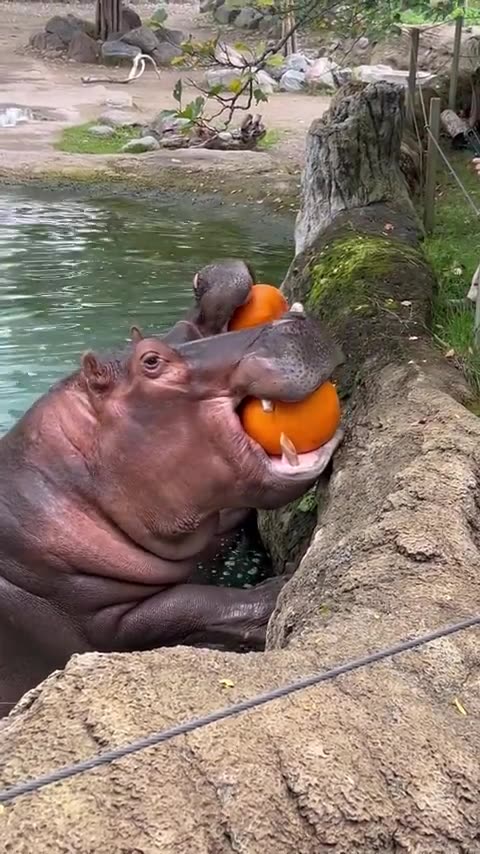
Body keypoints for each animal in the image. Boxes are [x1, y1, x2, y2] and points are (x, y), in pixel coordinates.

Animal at [0, 276, 344, 717]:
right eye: (151, 362)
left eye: (180, 332)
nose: (294, 319)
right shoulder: (102, 621)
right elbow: (192, 603)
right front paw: (280, 588)